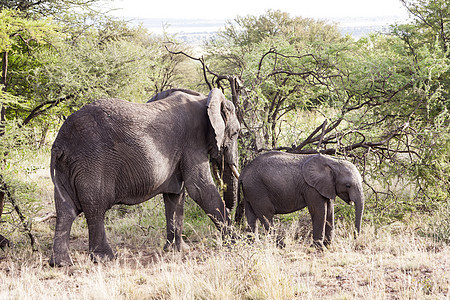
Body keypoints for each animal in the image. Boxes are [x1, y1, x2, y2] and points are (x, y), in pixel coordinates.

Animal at [48, 88, 239, 266]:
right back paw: (106, 258)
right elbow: (199, 188)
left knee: (65, 210)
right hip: (91, 163)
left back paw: (60, 263)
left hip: (66, 166)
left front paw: (176, 250)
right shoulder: (193, 142)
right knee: (95, 207)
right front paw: (237, 242)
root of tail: (60, 143)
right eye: (236, 133)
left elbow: (175, 196)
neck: (205, 99)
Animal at [236, 152, 366, 248]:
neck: (332, 162)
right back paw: (282, 245)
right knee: (266, 215)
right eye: (348, 185)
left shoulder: (326, 186)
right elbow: (318, 211)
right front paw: (319, 248)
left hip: (250, 191)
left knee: (251, 216)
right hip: (257, 189)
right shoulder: (311, 187)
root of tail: (243, 173)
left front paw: (328, 245)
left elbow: (329, 210)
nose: (354, 239)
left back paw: (253, 245)